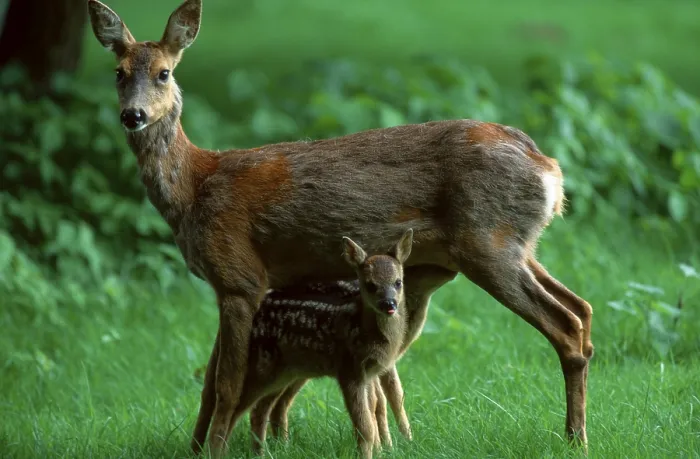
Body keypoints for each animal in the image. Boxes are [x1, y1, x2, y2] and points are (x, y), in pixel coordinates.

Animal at [213, 230, 414, 458]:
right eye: (371, 285)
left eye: (398, 282)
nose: (389, 304)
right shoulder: (349, 370)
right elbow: (365, 426)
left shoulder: (370, 372)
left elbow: (374, 409)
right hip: (262, 366)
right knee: (234, 405)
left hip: (286, 372)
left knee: (260, 409)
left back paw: (261, 452)